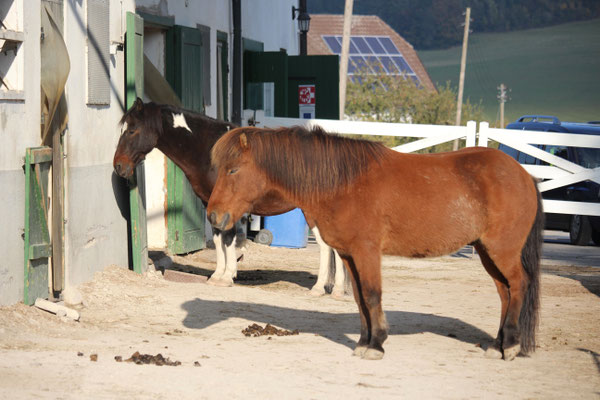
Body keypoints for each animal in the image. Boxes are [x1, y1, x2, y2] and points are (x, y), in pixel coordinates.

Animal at [112, 98, 348, 295]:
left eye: (132, 130)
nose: (119, 166)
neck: (209, 150)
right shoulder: (211, 203)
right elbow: (219, 239)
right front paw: (218, 275)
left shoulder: (229, 205)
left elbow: (229, 237)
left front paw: (227, 277)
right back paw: (336, 289)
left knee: (326, 245)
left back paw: (322, 288)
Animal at [206, 125, 543, 361]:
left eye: (233, 169)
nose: (213, 216)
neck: (342, 182)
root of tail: (523, 175)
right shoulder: (348, 254)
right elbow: (358, 298)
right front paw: (363, 342)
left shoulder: (366, 251)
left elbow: (371, 295)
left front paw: (376, 345)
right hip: (488, 252)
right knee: (505, 293)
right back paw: (499, 346)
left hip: (502, 250)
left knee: (519, 285)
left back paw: (511, 345)